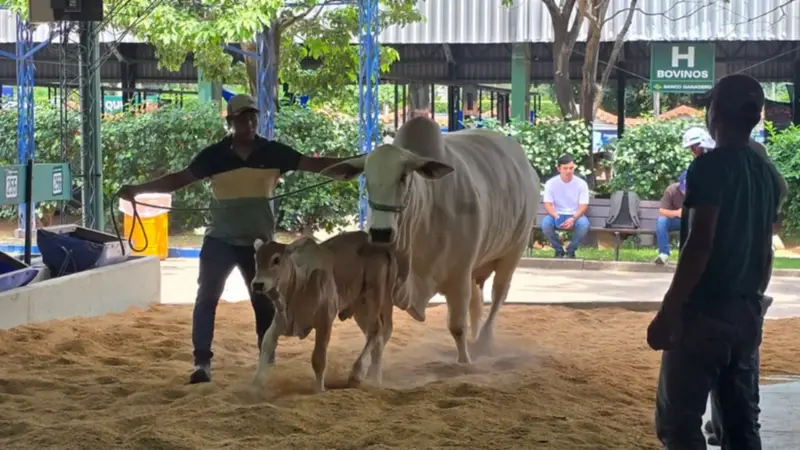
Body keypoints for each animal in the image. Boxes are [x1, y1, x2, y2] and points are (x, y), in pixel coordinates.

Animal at [250, 231, 407, 392]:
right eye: (256, 259)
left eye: (276, 260)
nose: (257, 284)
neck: (299, 284)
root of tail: (383, 248)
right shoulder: (281, 320)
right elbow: (267, 343)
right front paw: (256, 385)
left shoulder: (325, 320)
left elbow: (318, 359)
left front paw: (319, 390)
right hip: (360, 309)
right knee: (376, 338)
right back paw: (375, 380)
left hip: (374, 297)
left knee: (376, 330)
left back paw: (357, 374)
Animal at [321, 116, 540, 364]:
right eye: (366, 178)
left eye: (403, 176)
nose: (380, 233)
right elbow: (378, 333)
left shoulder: (459, 276)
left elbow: (457, 327)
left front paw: (465, 363)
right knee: (477, 301)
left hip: (513, 251)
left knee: (498, 295)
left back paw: (484, 341)